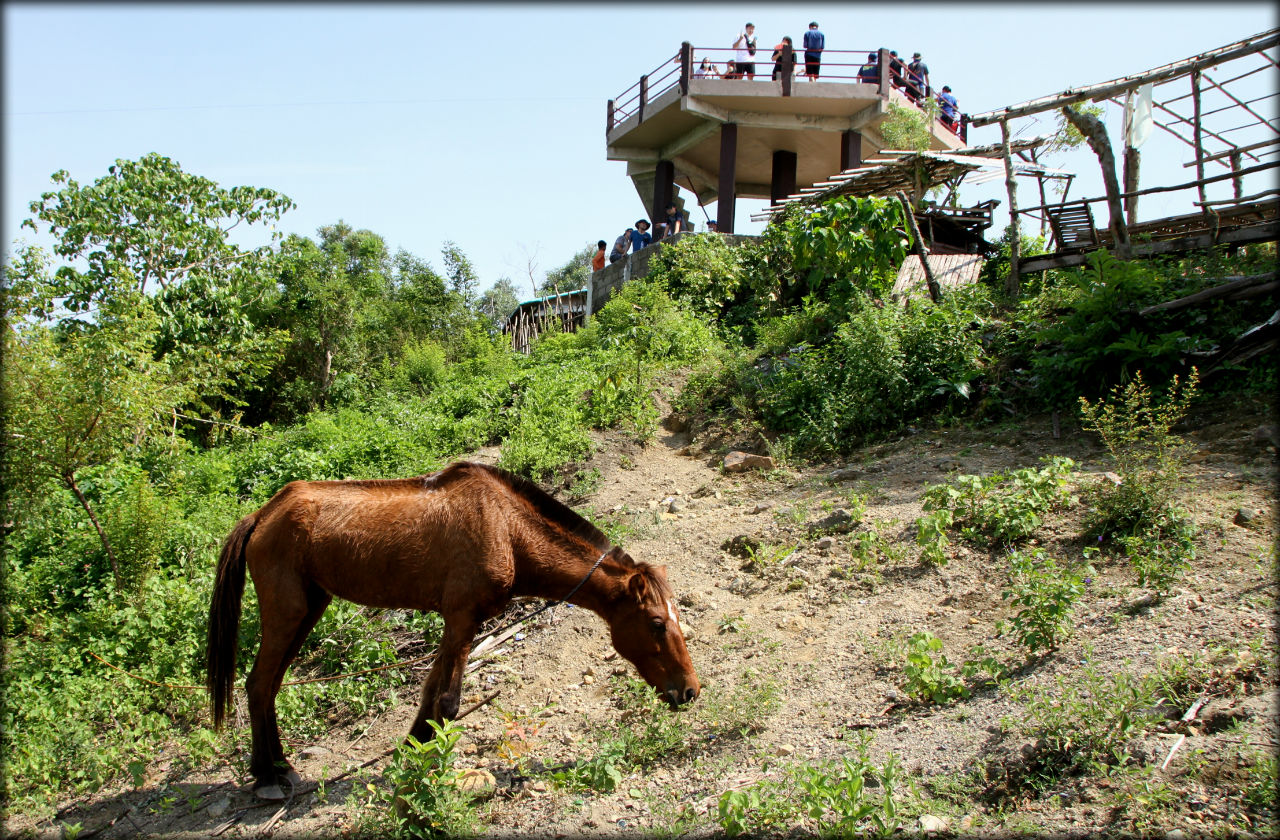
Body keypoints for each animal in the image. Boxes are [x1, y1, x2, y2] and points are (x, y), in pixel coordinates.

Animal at [206, 463, 701, 799]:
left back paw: (279, 766)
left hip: (308, 610)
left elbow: (431, 696)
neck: (506, 527)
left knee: (269, 687)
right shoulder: (462, 619)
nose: (690, 691)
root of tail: (262, 514)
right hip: (286, 613)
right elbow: (446, 701)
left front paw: (412, 750)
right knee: (258, 684)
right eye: (657, 623)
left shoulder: (460, 624)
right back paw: (266, 776)